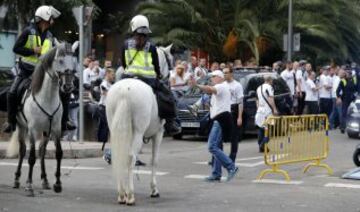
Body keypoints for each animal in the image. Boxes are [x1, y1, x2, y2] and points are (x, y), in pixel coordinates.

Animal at [6, 42, 76, 196]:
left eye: (73, 61)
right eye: (60, 60)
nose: (68, 86)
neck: (47, 98)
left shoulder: (56, 129)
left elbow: (58, 153)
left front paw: (57, 184)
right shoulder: (32, 129)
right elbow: (31, 157)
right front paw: (29, 185)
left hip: (45, 132)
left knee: (42, 151)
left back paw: (45, 180)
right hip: (22, 127)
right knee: (23, 151)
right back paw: (17, 179)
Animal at [106, 44, 174, 205]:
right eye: (170, 62)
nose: (168, 79)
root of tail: (124, 91)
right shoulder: (158, 134)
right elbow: (154, 160)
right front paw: (154, 190)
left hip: (115, 129)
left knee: (120, 156)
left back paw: (122, 194)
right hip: (137, 132)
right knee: (131, 157)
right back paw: (130, 195)